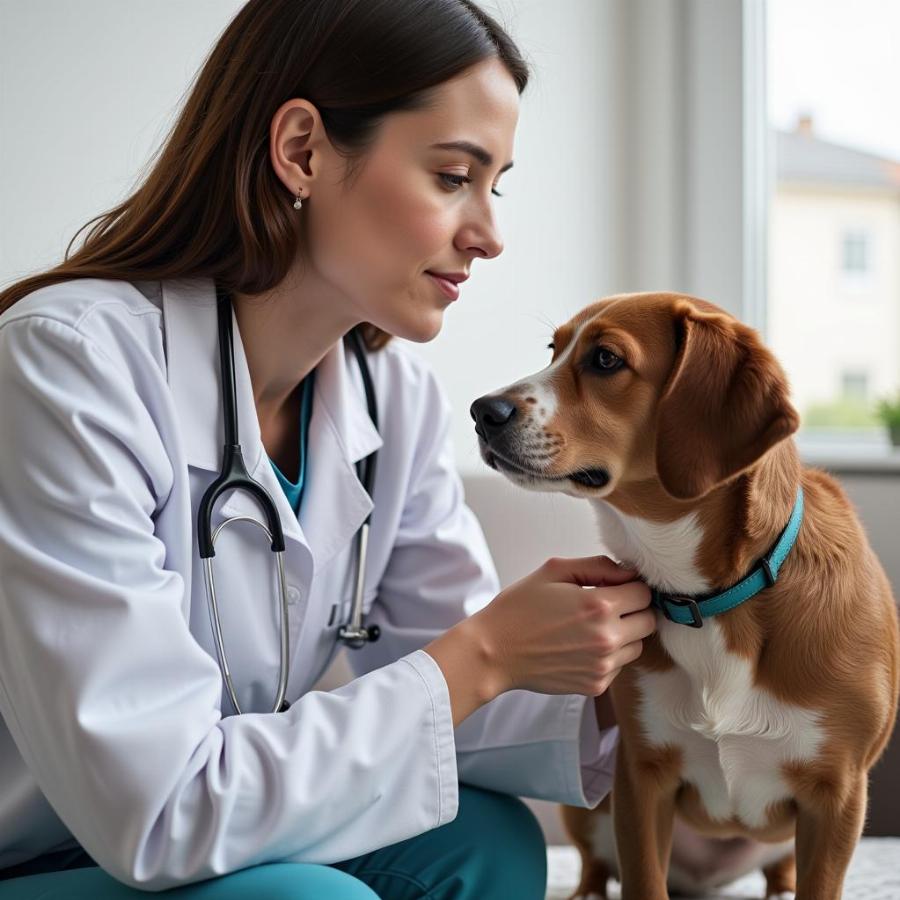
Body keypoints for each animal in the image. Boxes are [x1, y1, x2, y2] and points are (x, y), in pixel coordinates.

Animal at [472, 296, 900, 900]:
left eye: (605, 359)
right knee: (595, 863)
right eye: (554, 349)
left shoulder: (837, 795)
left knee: (781, 873)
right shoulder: (640, 778)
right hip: (592, 806)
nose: (481, 410)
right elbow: (641, 881)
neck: (713, 599)